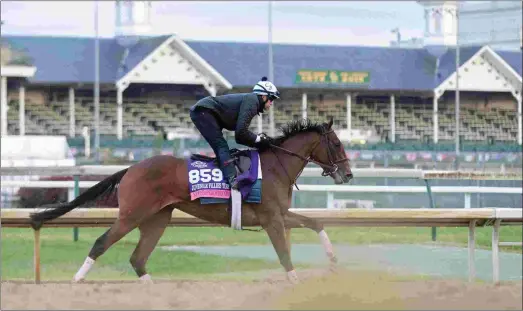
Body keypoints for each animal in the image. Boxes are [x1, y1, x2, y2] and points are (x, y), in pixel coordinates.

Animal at [30, 119, 354, 286]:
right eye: (338, 144)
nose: (348, 174)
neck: (276, 166)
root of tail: (131, 168)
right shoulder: (271, 218)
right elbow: (284, 254)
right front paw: (297, 280)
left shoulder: (280, 214)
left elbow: (315, 222)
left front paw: (333, 260)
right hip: (131, 215)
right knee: (102, 243)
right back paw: (77, 279)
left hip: (158, 218)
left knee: (138, 258)